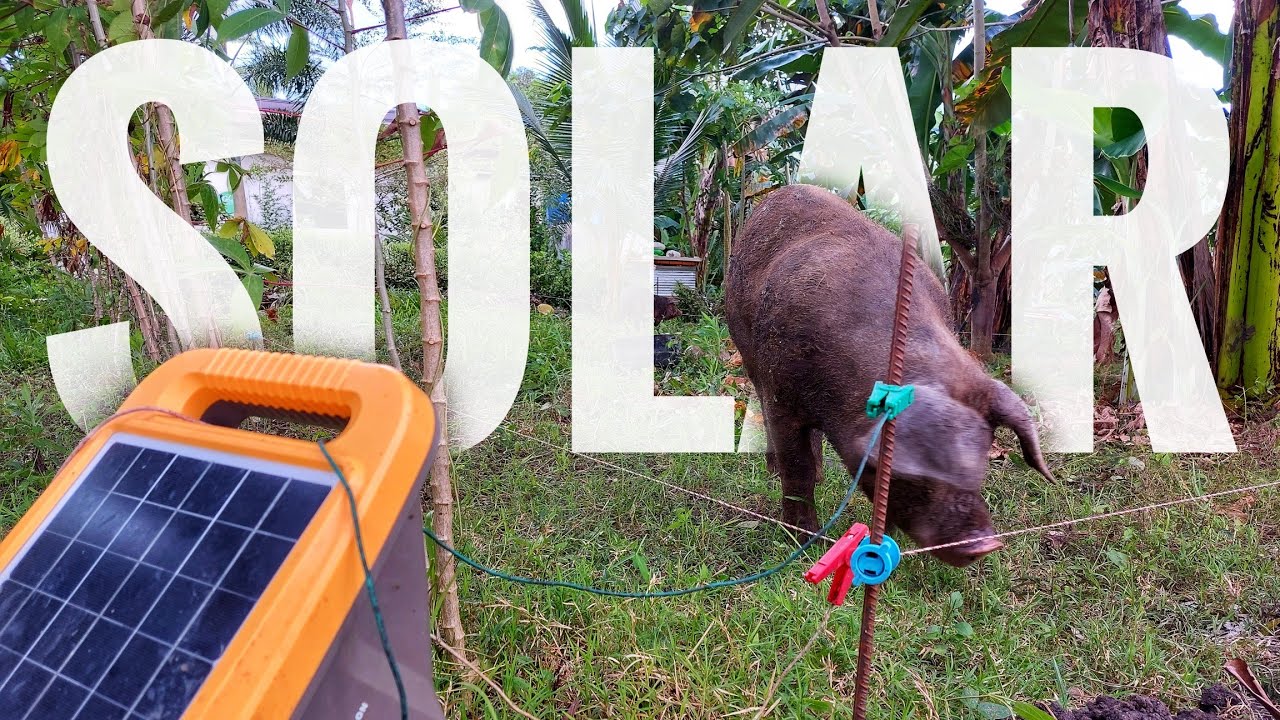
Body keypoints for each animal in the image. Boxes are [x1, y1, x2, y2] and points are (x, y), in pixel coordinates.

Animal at [724, 184, 1053, 567]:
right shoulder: (782, 395)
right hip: (747, 350)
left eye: (978, 465)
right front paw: (803, 542)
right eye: (917, 475)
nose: (984, 544)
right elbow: (797, 467)